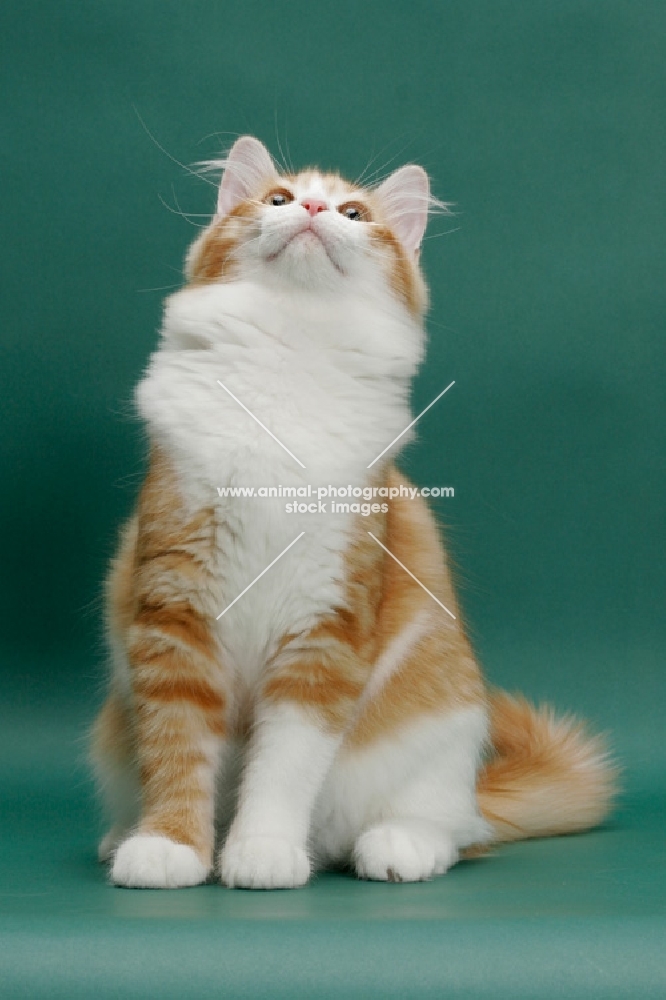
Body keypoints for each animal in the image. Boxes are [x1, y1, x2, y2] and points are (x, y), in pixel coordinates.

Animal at [91, 135, 616, 892]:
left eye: (353, 213)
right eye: (279, 199)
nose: (311, 210)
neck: (289, 361)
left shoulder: (326, 626)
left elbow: (282, 767)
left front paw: (262, 851)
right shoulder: (174, 610)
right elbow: (176, 749)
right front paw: (170, 846)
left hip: (439, 733)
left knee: (452, 831)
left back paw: (399, 846)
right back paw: (120, 836)